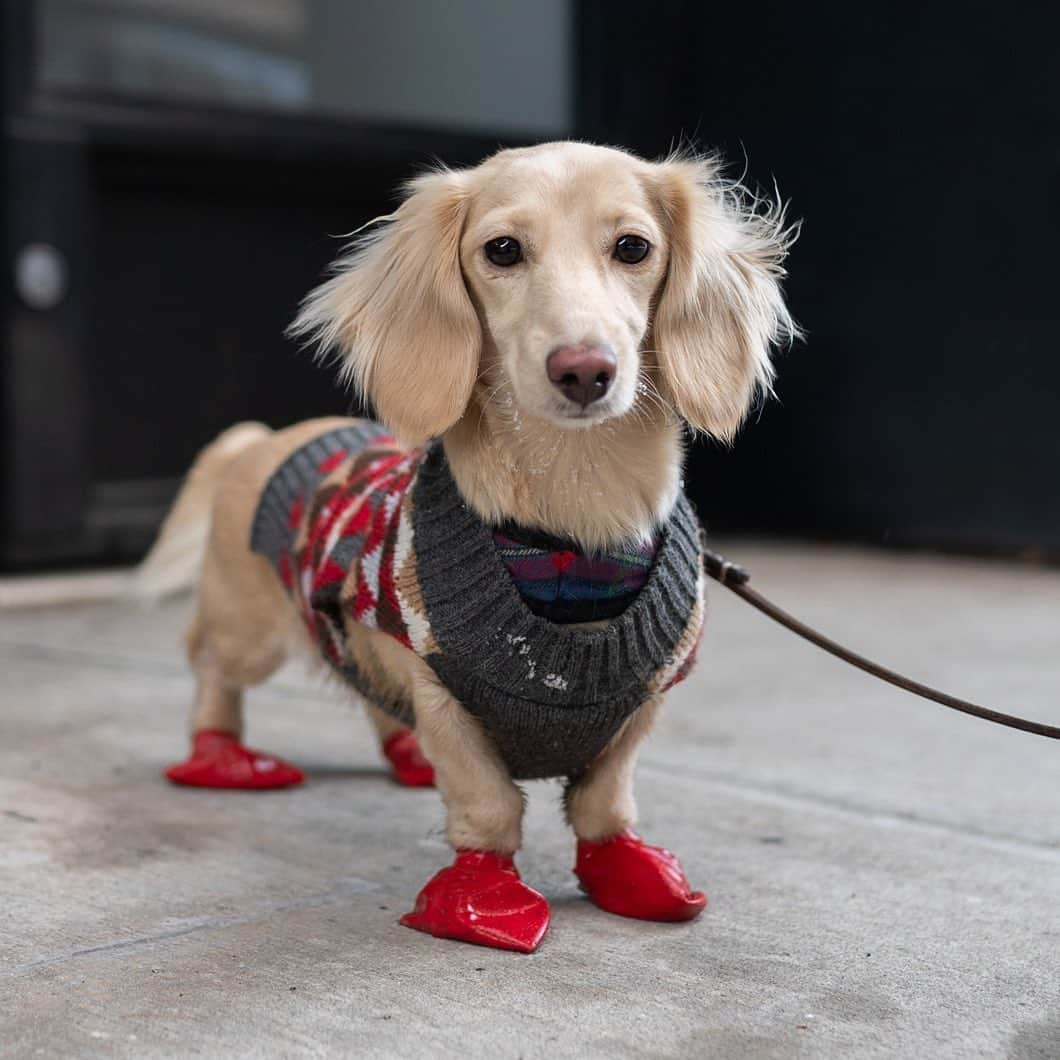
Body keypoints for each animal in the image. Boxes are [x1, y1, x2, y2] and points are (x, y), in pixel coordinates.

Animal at [136, 138, 792, 953]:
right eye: (502, 250)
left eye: (634, 247)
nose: (584, 370)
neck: (569, 536)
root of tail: (259, 441)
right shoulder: (442, 690)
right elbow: (488, 807)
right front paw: (485, 901)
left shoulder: (640, 704)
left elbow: (605, 805)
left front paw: (632, 872)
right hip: (246, 632)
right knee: (213, 678)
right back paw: (224, 757)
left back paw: (402, 753)